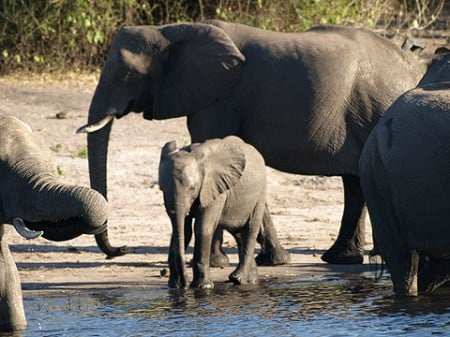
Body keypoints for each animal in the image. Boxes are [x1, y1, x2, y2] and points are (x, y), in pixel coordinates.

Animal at [77, 19, 426, 264]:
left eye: (128, 76)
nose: (121, 249)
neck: (169, 32)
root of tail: (411, 66)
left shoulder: (218, 99)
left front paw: (218, 262)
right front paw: (272, 259)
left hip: (377, 106)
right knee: (354, 182)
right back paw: (340, 259)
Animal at [159, 135, 268, 288]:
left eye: (192, 188)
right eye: (161, 189)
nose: (184, 284)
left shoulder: (215, 188)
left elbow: (202, 229)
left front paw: (203, 287)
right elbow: (183, 231)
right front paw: (174, 286)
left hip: (260, 194)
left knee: (250, 231)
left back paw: (238, 279)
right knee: (239, 234)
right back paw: (249, 281)